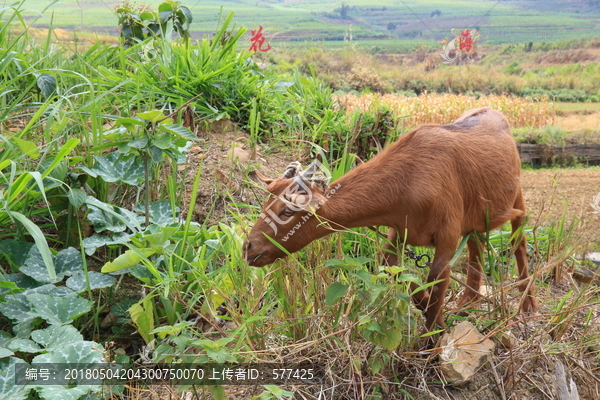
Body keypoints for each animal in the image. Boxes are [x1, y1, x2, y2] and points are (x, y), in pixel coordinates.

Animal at [244, 108, 540, 330]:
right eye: (266, 203)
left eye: (287, 212)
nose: (248, 248)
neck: (410, 178)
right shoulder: (400, 231)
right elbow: (398, 273)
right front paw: (431, 315)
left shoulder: (447, 234)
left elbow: (436, 285)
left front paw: (433, 345)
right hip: (477, 213)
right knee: (477, 245)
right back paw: (468, 301)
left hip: (517, 196)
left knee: (519, 243)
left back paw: (529, 306)